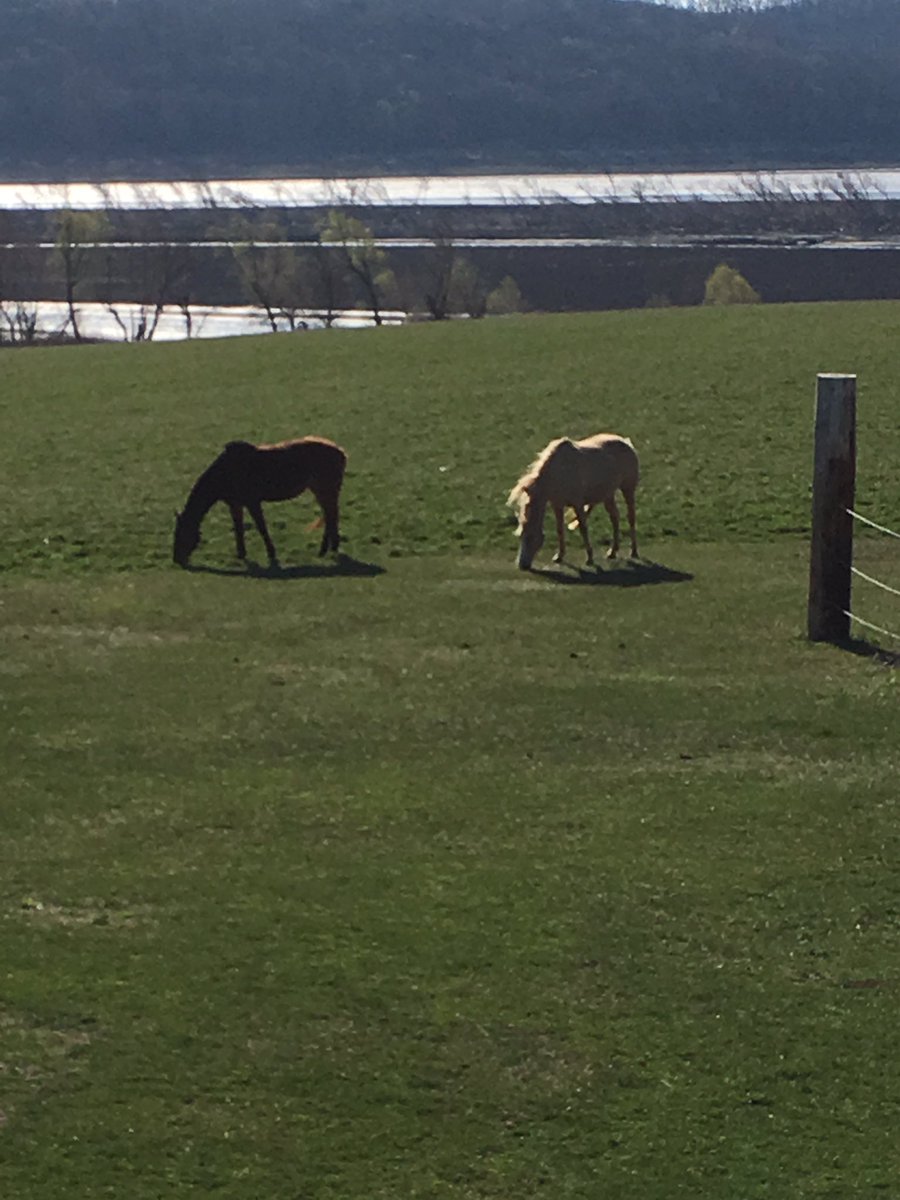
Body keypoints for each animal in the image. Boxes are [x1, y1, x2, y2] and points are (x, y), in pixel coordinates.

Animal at [173, 436, 347, 568]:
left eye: (181, 533)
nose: (177, 559)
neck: (225, 472)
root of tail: (341, 452)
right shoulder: (235, 504)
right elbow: (238, 528)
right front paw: (241, 554)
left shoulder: (252, 502)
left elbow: (261, 527)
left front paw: (271, 553)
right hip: (321, 491)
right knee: (329, 516)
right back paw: (325, 550)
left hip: (326, 491)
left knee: (331, 516)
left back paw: (329, 549)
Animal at [507, 433, 639, 570]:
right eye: (520, 535)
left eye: (531, 537)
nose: (522, 565)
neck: (558, 472)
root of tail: (625, 442)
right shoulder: (557, 505)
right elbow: (559, 529)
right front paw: (559, 556)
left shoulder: (578, 504)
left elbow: (583, 529)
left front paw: (589, 559)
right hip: (608, 495)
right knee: (615, 518)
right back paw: (612, 552)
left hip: (628, 489)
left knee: (631, 517)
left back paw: (634, 551)